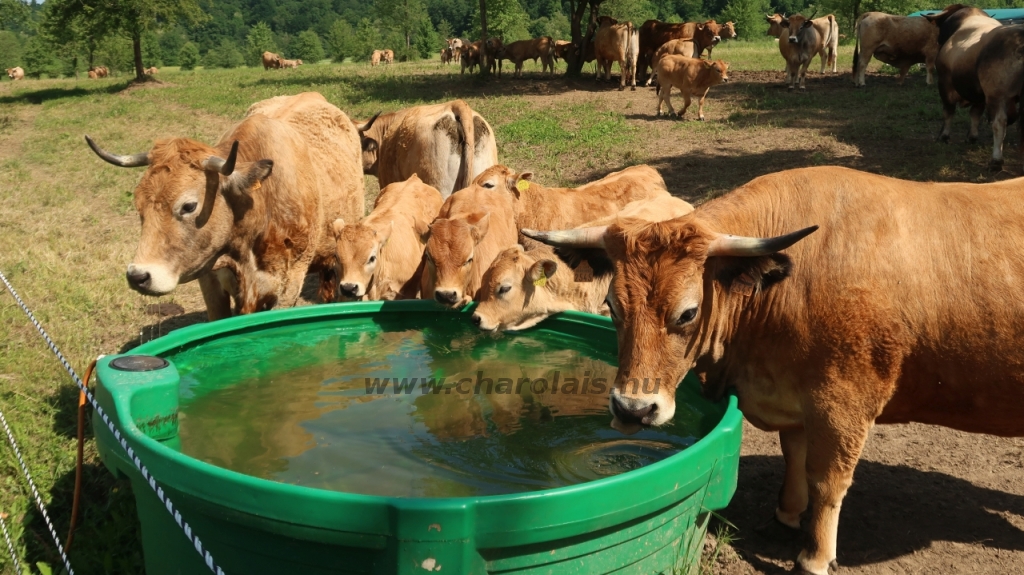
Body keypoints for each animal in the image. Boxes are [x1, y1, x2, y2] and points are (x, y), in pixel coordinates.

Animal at [524, 162, 1024, 572]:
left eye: (687, 313)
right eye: (611, 306)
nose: (632, 410)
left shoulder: (845, 404)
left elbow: (828, 481)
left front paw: (815, 555)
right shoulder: (797, 394)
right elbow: (794, 454)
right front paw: (787, 512)